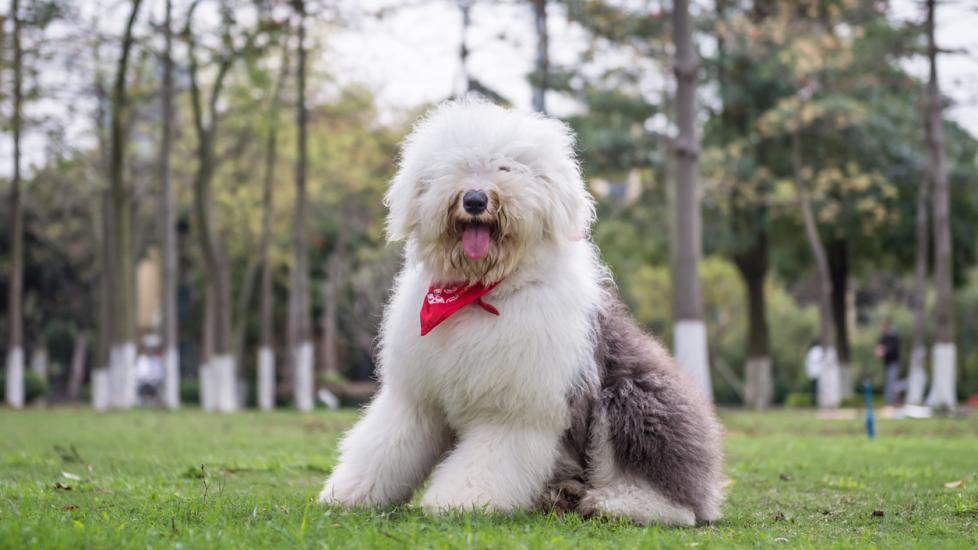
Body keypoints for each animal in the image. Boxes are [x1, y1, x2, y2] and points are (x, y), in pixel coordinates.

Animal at [316, 98, 720, 528]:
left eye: (506, 168)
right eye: (457, 166)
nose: (475, 199)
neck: (478, 293)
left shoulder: (514, 408)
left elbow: (487, 459)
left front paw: (460, 501)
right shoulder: (416, 397)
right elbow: (385, 446)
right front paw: (350, 493)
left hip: (634, 397)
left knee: (673, 499)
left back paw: (614, 504)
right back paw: (561, 495)